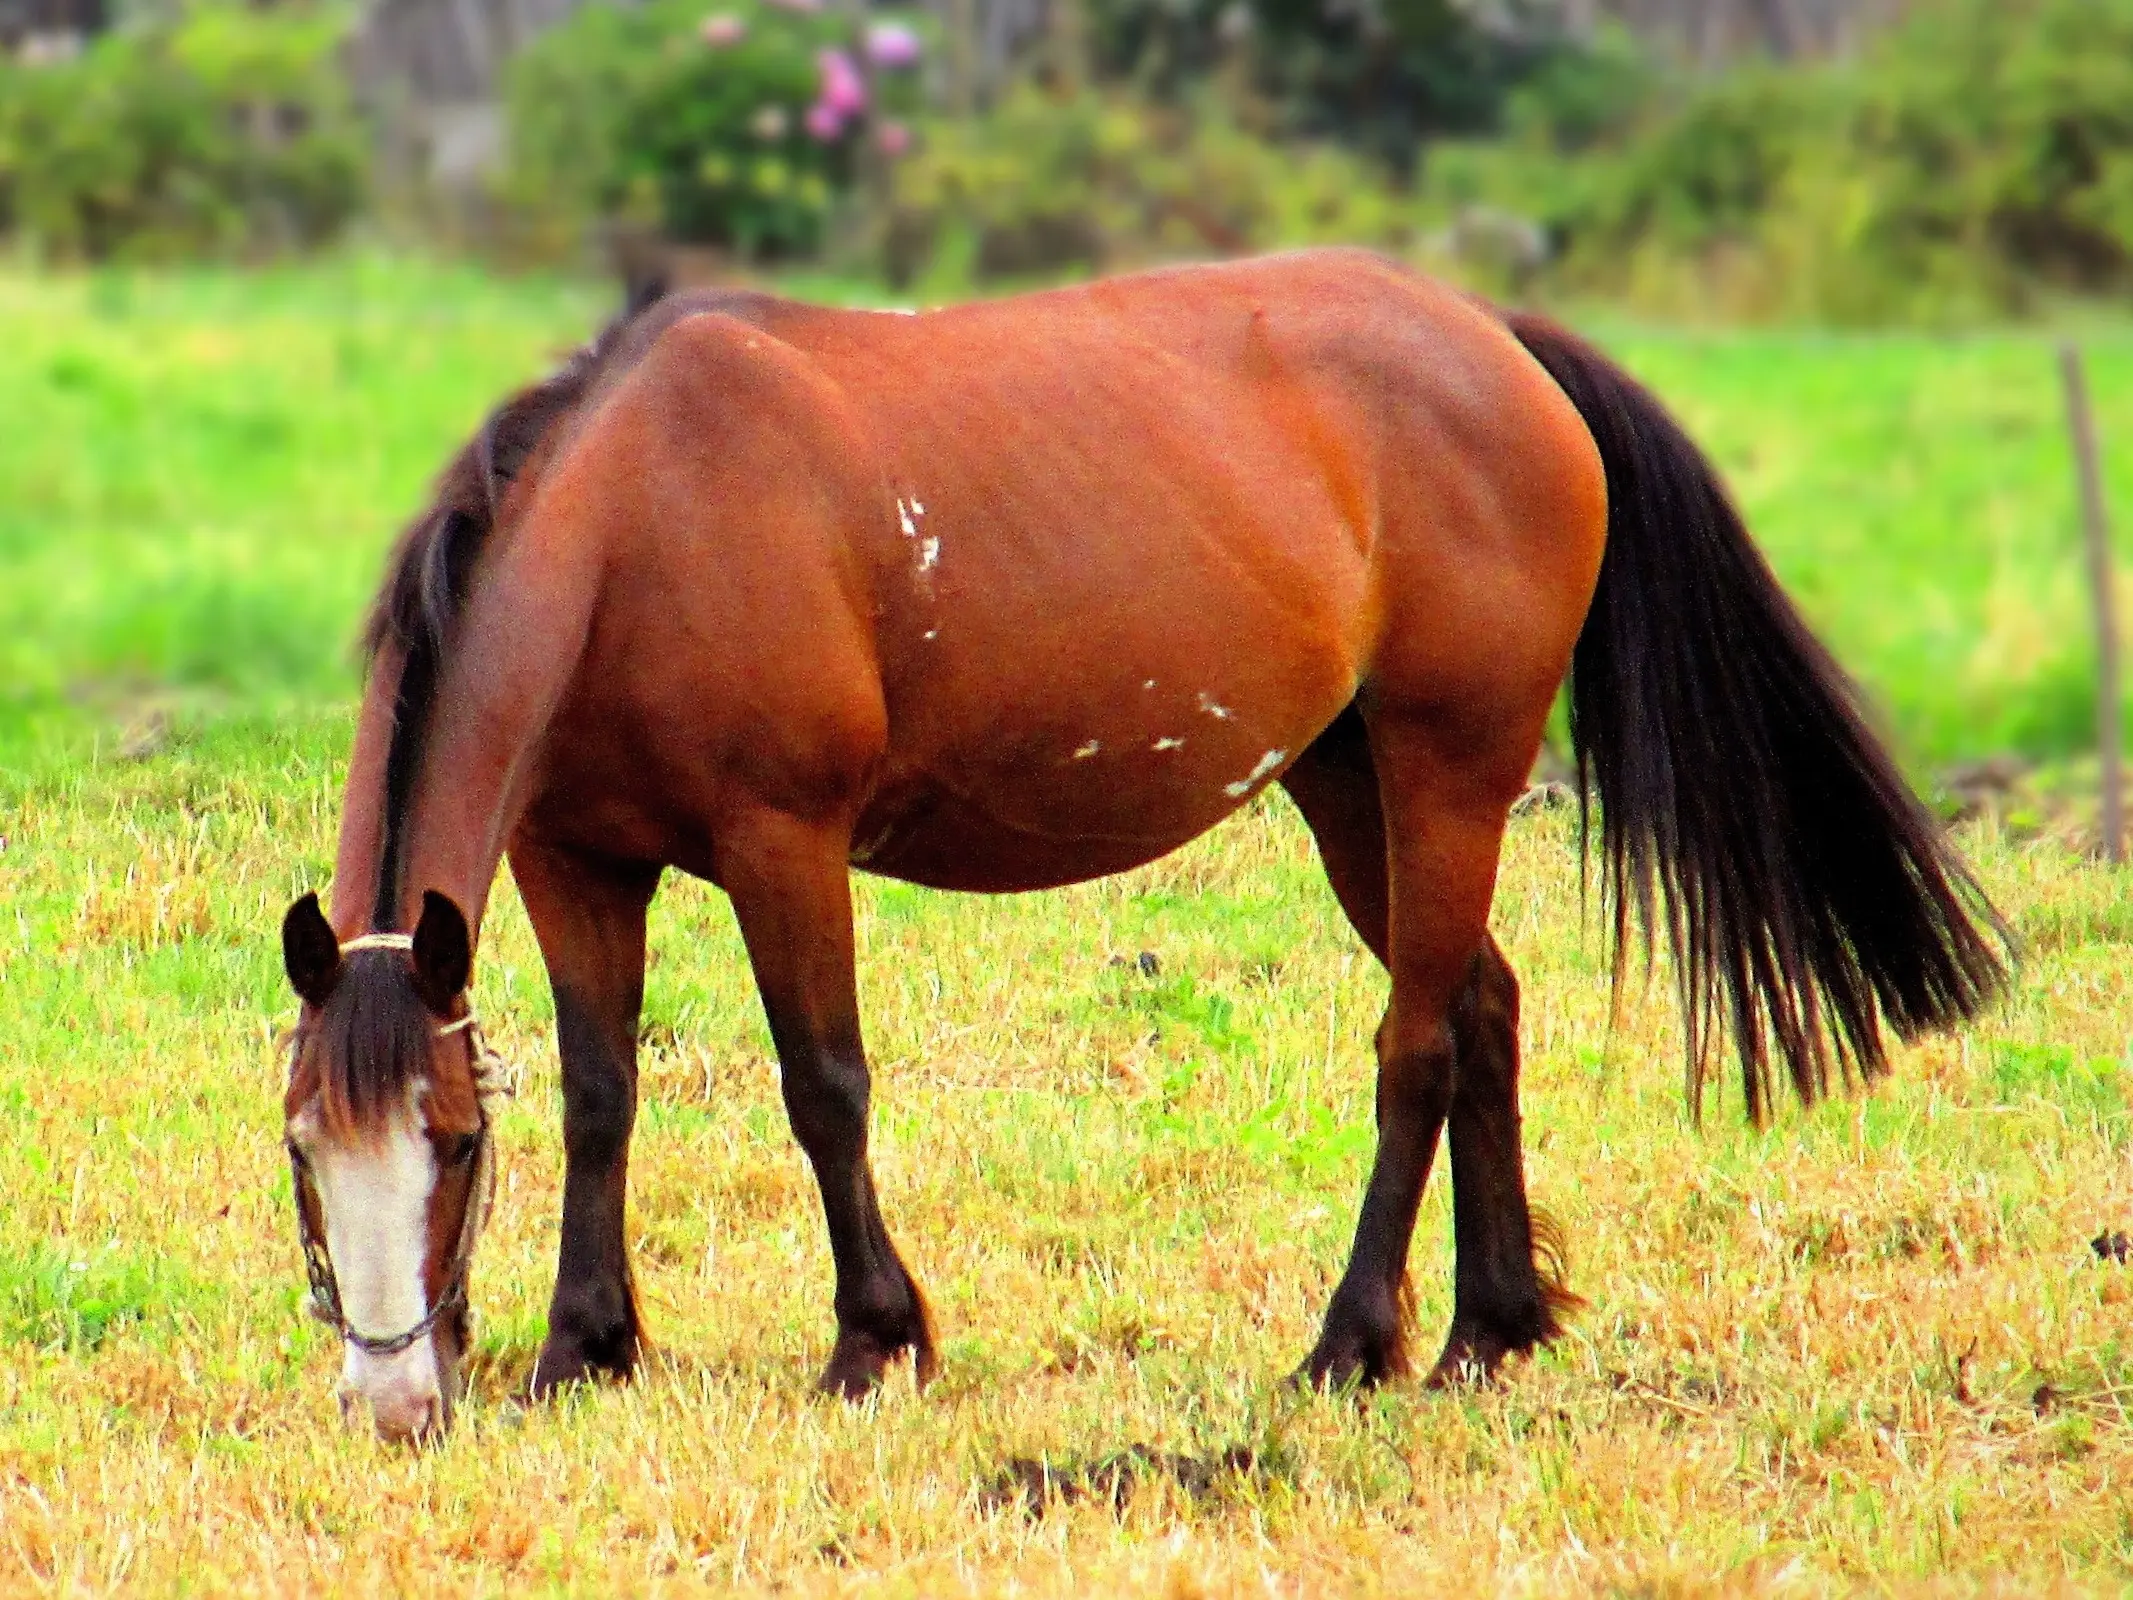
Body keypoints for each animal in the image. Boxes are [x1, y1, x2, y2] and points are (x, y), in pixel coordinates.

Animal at [275, 247, 2005, 1442]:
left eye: (449, 1149)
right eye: (305, 1149)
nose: (395, 1408)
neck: (645, 517)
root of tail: (1502, 343)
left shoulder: (787, 842)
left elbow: (822, 1087)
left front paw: (872, 1339)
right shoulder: (574, 861)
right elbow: (600, 1095)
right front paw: (586, 1348)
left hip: (1448, 768)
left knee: (1418, 1048)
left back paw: (1349, 1343)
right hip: (1349, 786)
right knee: (1483, 1011)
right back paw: (1485, 1330)